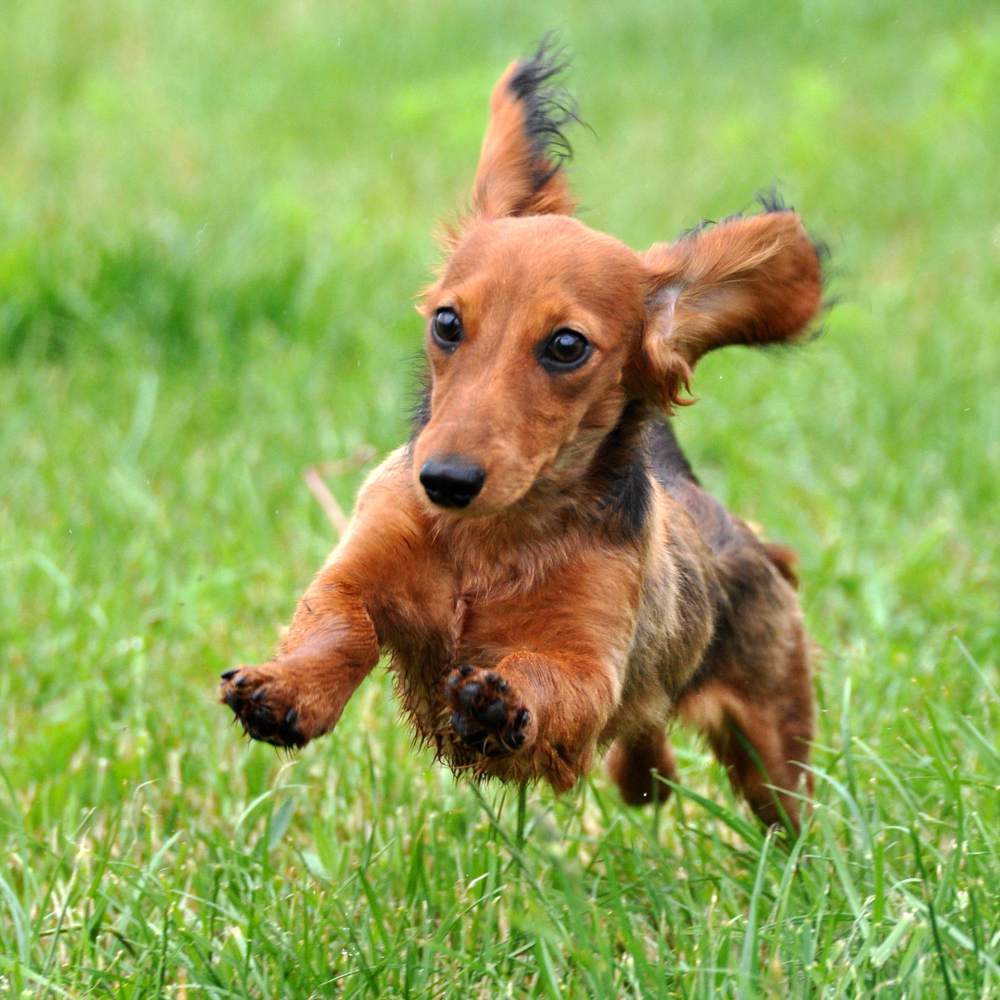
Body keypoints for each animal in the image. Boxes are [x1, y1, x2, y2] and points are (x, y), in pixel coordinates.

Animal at [223, 43, 824, 832]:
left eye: (566, 345)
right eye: (447, 323)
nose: (444, 482)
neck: (491, 540)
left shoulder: (589, 664)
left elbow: (549, 682)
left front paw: (495, 707)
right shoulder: (362, 565)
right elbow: (340, 623)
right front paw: (288, 690)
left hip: (771, 741)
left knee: (776, 798)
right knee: (646, 754)